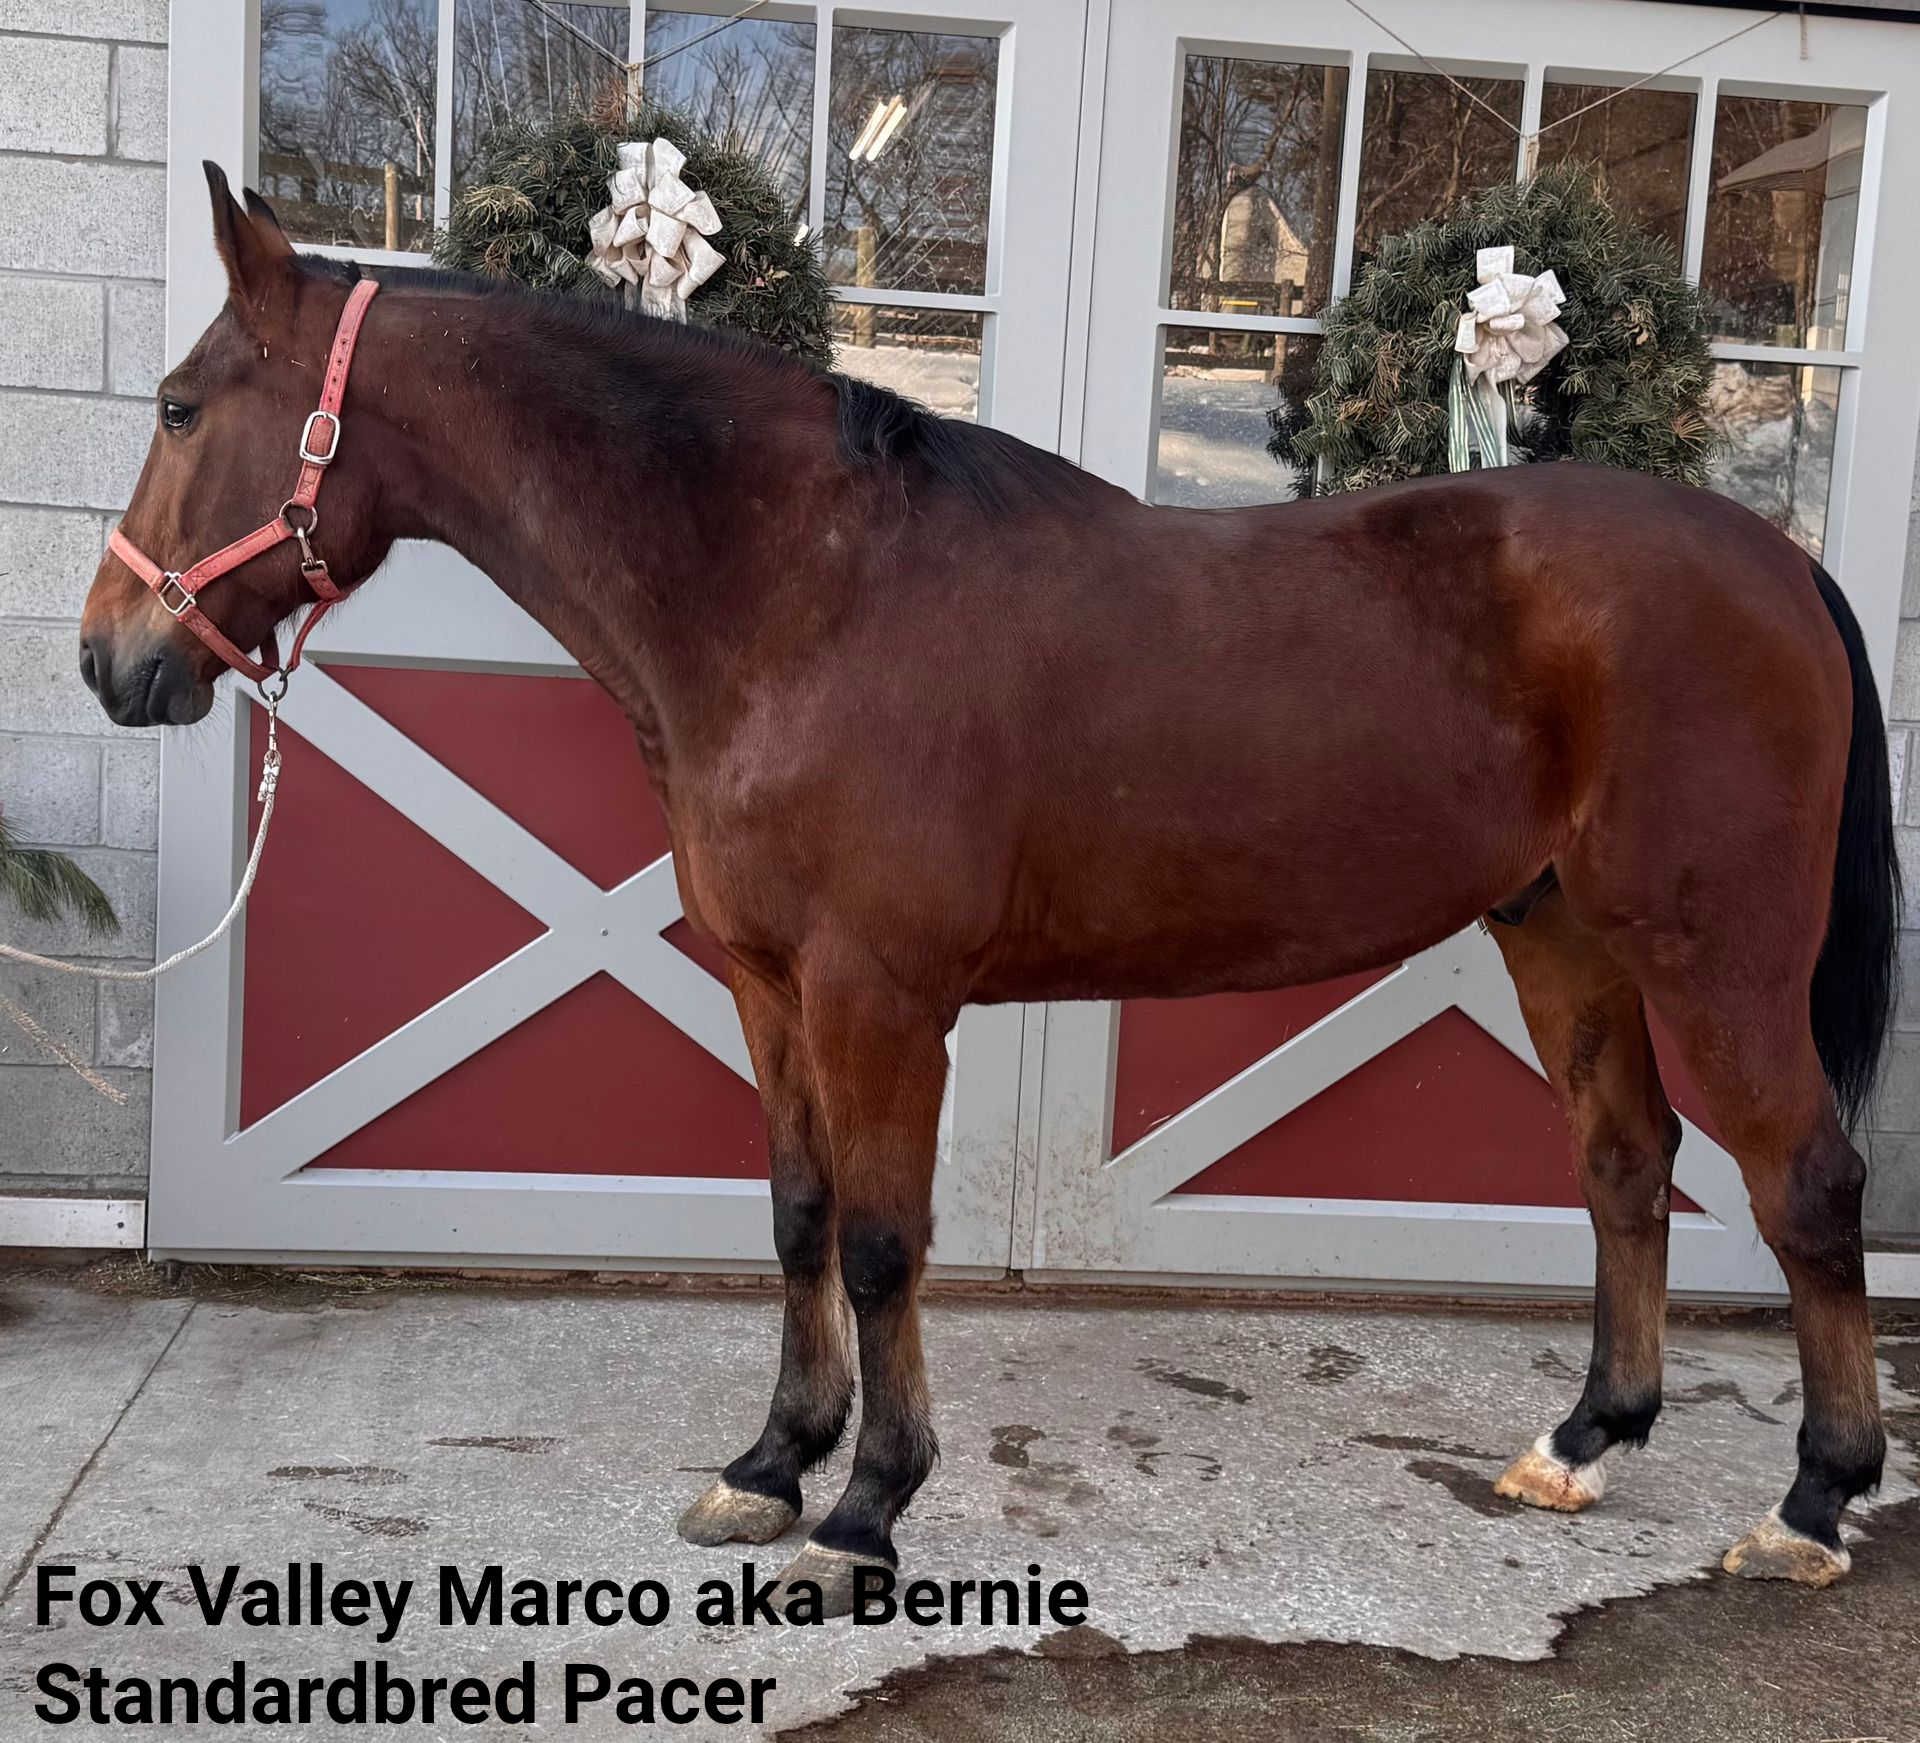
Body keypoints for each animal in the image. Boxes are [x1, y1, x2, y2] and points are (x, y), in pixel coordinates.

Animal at [79, 166, 1898, 1609]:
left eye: (175, 407)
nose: (109, 657)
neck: (801, 588)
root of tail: (1780, 563)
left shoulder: (882, 994)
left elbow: (887, 1239)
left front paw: (865, 1510)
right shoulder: (769, 980)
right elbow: (798, 1210)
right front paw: (772, 1462)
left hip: (1717, 954)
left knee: (1806, 1183)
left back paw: (1814, 1502)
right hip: (1565, 935)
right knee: (1625, 1164)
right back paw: (1583, 1441)